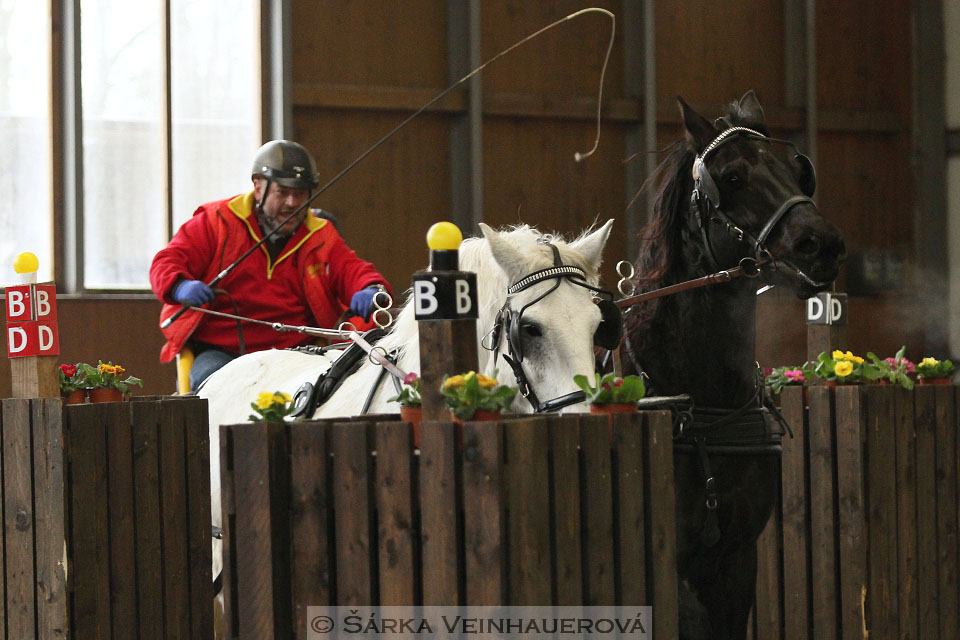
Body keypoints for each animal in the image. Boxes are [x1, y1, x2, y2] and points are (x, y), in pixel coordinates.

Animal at [620, 91, 844, 640]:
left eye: (798, 170)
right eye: (734, 177)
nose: (822, 243)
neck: (705, 409)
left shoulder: (737, 560)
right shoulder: (668, 565)